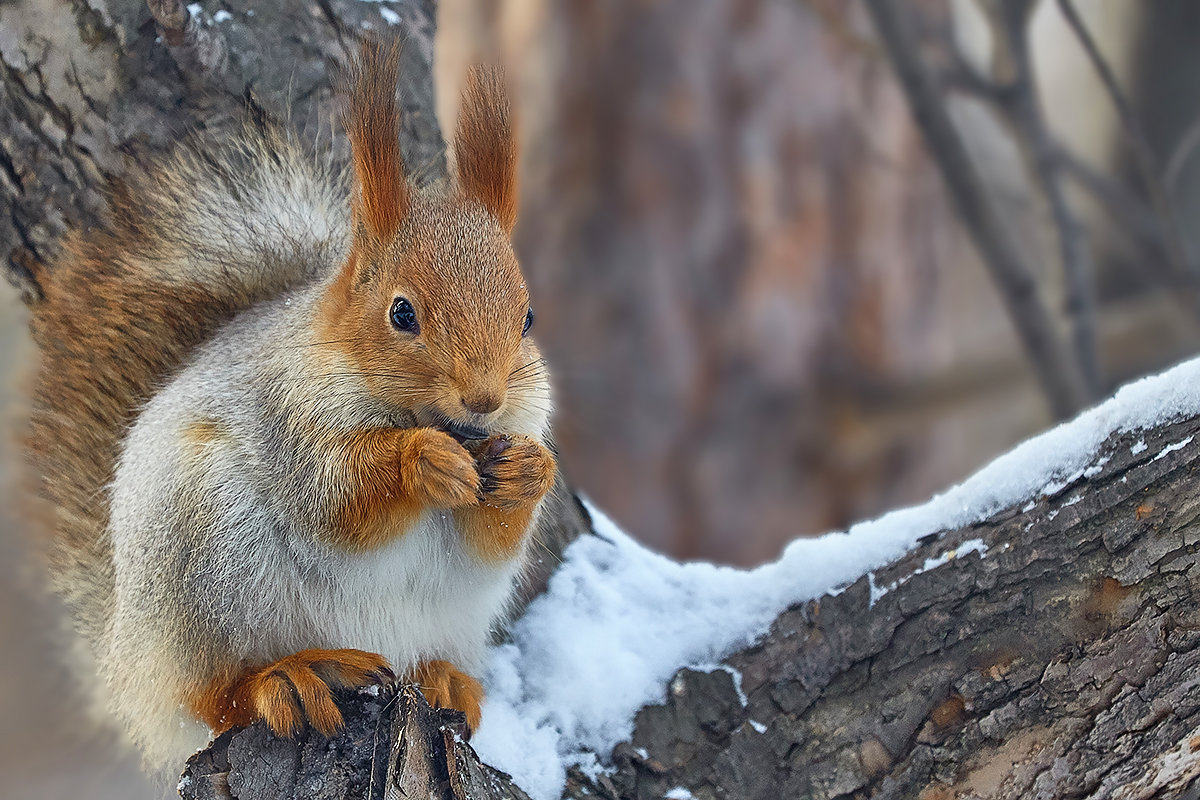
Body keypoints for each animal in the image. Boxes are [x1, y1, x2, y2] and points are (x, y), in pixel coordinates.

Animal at [25, 43, 554, 767]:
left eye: (528, 317)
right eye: (402, 312)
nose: (484, 400)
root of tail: (128, 658)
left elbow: (496, 537)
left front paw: (530, 471)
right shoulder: (288, 415)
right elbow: (331, 497)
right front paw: (421, 461)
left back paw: (443, 678)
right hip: (197, 580)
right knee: (210, 699)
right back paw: (287, 680)